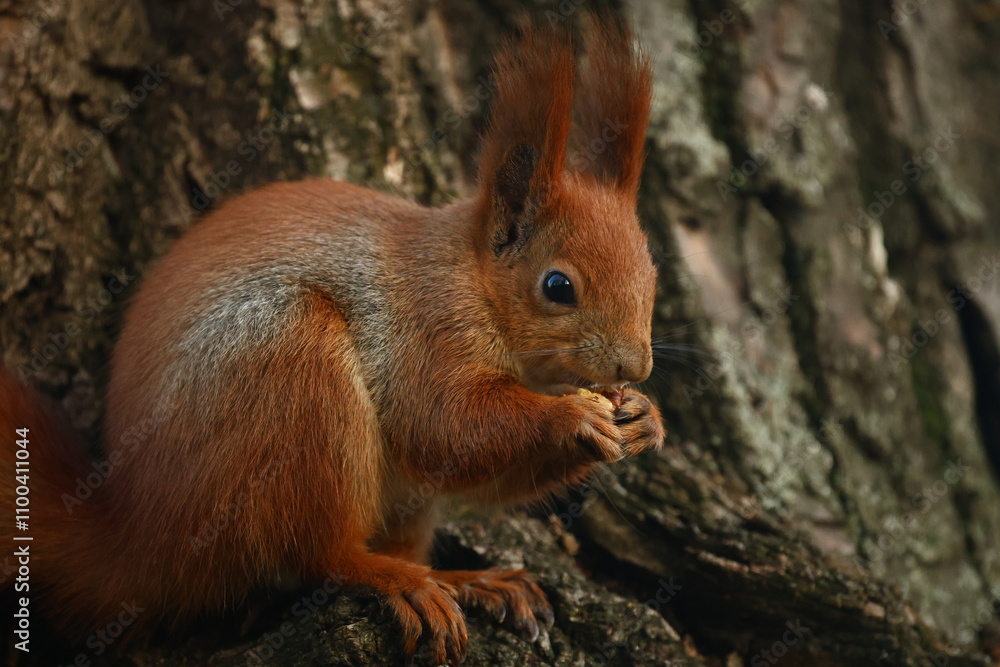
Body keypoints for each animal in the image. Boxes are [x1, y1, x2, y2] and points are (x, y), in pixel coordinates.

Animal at [0, 18, 663, 665]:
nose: (636, 366)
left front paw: (644, 420)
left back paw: (468, 581)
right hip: (288, 374)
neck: (474, 282)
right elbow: (442, 425)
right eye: (557, 286)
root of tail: (139, 533)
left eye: (651, 273)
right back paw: (392, 578)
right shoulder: (425, 326)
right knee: (315, 553)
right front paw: (573, 417)